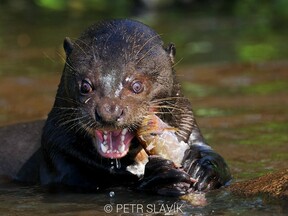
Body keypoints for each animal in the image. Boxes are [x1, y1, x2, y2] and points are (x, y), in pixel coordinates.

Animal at [5, 19, 232, 197]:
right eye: (85, 85)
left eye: (137, 85)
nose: (109, 112)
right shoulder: (58, 154)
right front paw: (160, 176)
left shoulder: (190, 128)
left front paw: (202, 168)